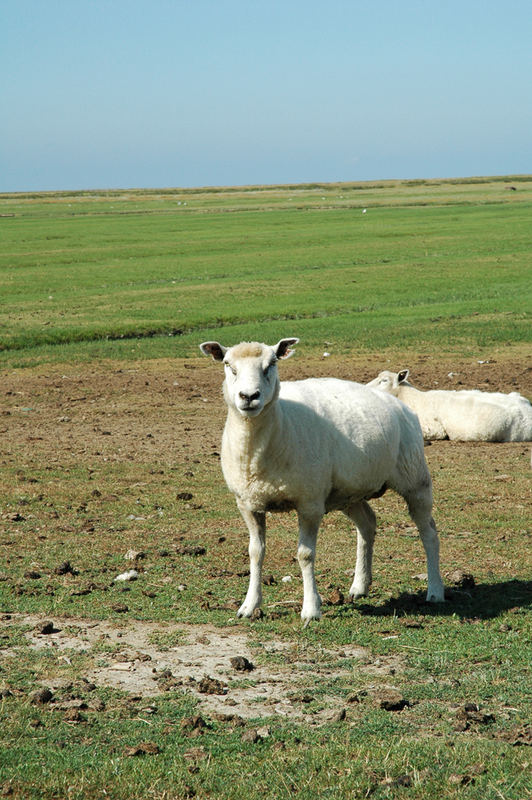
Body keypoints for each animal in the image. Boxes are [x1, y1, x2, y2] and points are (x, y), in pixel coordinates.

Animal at [200, 334, 444, 620]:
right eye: (228, 365)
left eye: (271, 364)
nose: (249, 396)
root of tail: (400, 405)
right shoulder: (248, 503)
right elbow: (255, 552)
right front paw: (249, 605)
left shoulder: (310, 503)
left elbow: (305, 555)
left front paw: (311, 609)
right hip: (349, 491)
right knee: (367, 523)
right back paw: (360, 585)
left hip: (415, 478)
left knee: (429, 532)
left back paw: (435, 591)